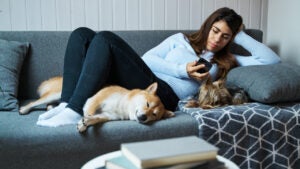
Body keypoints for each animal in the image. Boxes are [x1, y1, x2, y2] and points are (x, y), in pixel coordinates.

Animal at [19, 76, 173, 132]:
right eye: (147, 104)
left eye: (154, 115)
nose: (143, 117)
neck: (123, 106)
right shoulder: (95, 100)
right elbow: (89, 112)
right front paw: (83, 122)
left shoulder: (108, 116)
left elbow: (97, 118)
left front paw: (87, 122)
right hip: (54, 94)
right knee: (34, 102)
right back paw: (24, 109)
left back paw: (50, 109)